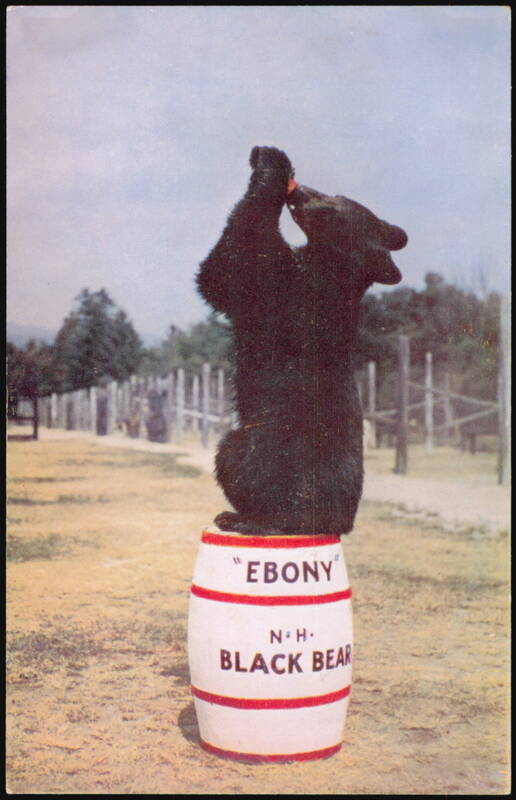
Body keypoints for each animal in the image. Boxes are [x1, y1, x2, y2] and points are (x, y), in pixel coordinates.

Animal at [196, 146, 407, 536]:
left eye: (333, 203)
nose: (300, 192)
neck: (335, 267)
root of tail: (339, 521)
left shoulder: (286, 289)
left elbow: (235, 263)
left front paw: (271, 164)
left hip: (271, 450)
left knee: (239, 460)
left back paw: (249, 519)